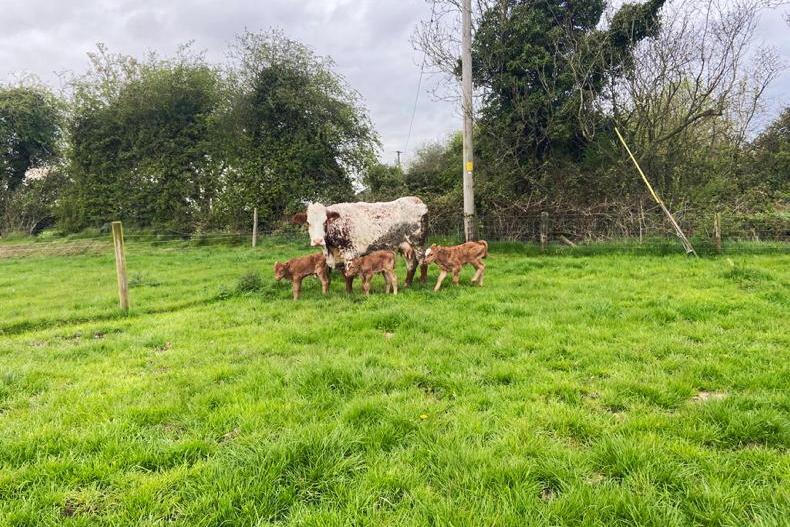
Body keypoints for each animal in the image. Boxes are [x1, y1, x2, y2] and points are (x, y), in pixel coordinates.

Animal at [292, 197, 429, 287]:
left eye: (325, 222)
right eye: (308, 223)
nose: (317, 240)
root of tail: (416, 199)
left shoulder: (350, 253)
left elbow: (348, 275)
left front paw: (349, 294)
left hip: (418, 243)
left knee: (422, 261)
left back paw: (422, 282)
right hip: (406, 246)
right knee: (411, 264)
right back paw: (407, 283)